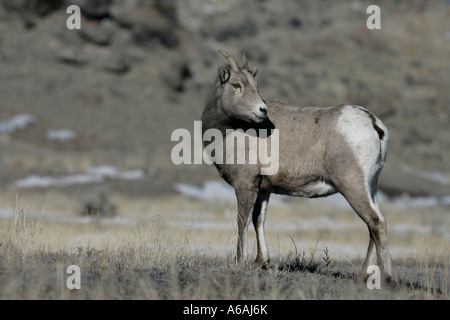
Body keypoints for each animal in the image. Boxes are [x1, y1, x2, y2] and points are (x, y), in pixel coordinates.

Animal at [201, 48, 394, 284]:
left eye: (255, 85)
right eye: (236, 85)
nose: (262, 110)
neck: (229, 133)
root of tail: (374, 124)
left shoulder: (245, 185)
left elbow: (242, 222)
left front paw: (239, 263)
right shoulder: (263, 190)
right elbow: (258, 220)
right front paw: (260, 262)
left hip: (352, 186)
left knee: (376, 222)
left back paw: (385, 277)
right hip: (370, 187)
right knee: (371, 226)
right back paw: (361, 277)